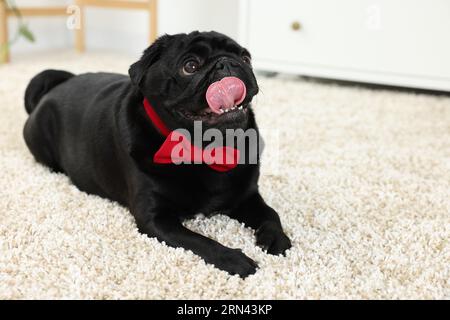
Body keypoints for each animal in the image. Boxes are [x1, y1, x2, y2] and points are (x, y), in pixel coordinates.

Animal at [22, 31, 292, 278]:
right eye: (190, 66)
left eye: (246, 58)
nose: (228, 62)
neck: (207, 148)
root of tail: (61, 83)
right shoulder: (155, 219)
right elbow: (200, 241)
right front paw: (233, 259)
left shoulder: (247, 196)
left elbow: (271, 214)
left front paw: (276, 238)